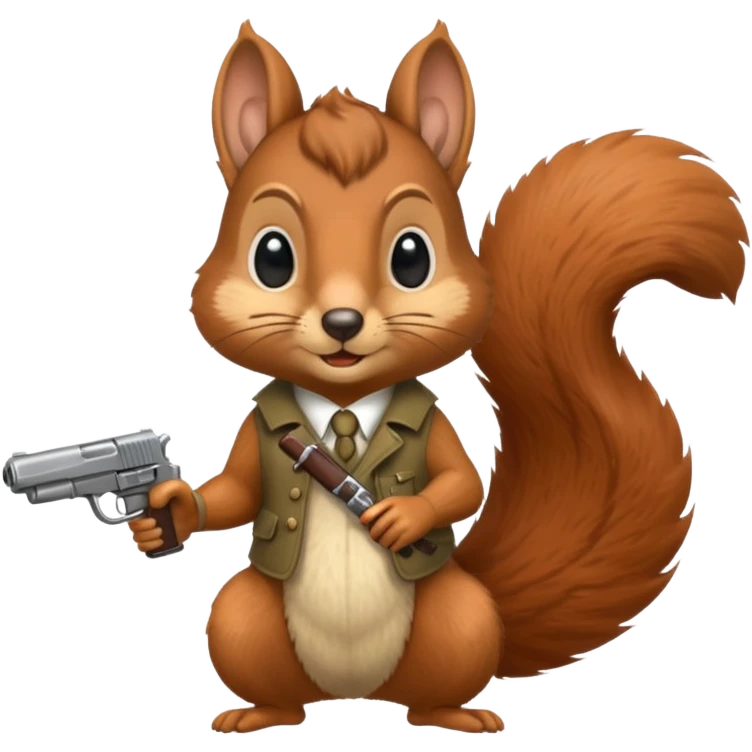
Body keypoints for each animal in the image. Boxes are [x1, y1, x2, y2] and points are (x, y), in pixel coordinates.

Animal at [127, 19, 748, 735]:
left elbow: (459, 483)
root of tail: (355, 693)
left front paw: (400, 517)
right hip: (242, 620)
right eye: (272, 257)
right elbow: (234, 491)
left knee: (437, 683)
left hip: (461, 620)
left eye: (412, 257)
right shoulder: (259, 433)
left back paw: (456, 713)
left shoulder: (431, 427)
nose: (342, 321)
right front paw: (170, 509)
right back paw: (260, 711)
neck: (344, 398)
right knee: (268, 670)